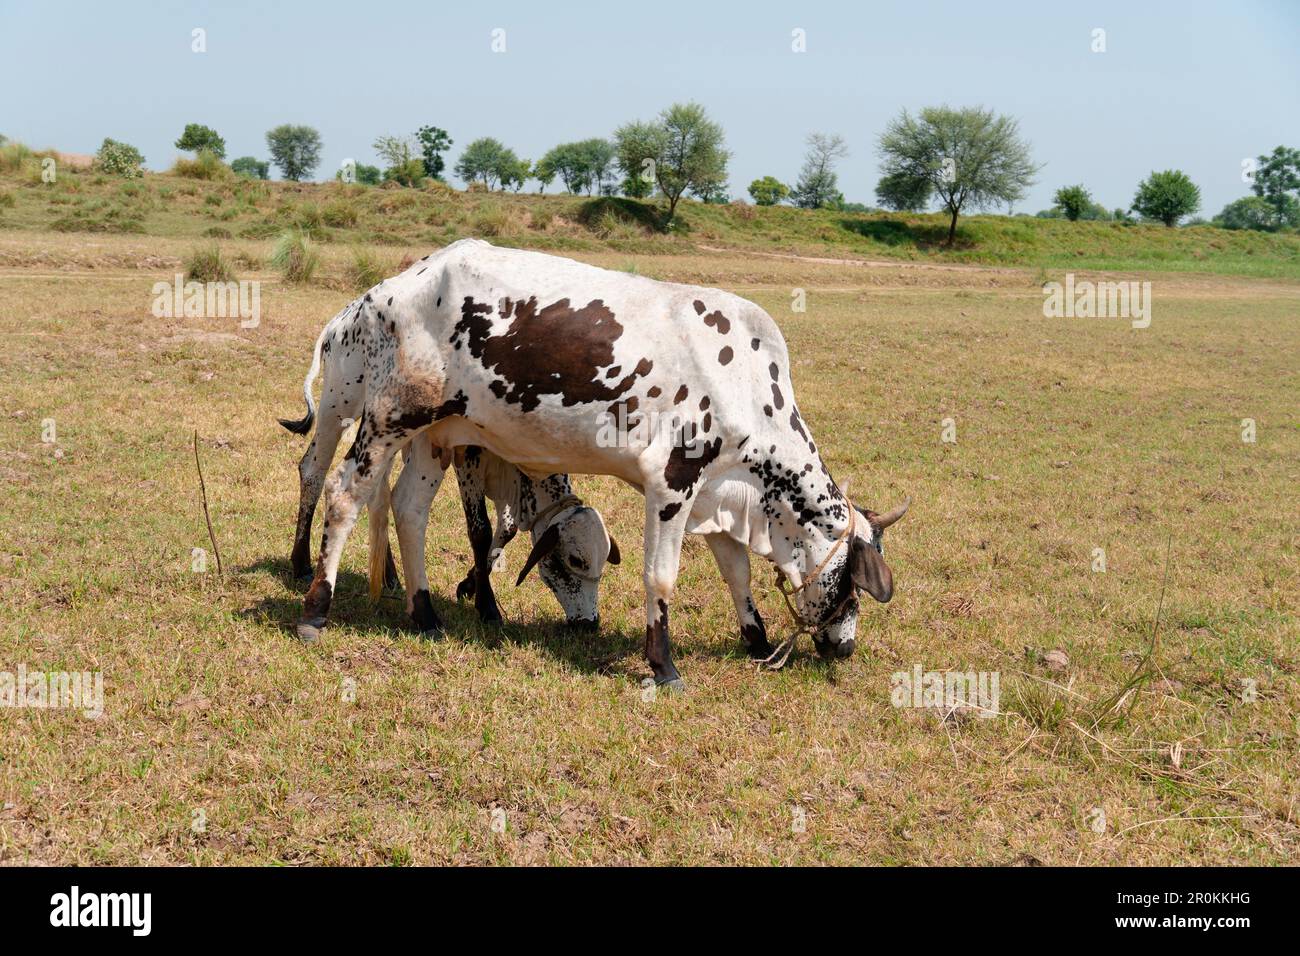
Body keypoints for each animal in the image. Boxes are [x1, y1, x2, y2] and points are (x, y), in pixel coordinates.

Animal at [278, 296, 618, 629]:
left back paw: (389, 575)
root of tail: (343, 318)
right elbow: (480, 531)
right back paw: (302, 564)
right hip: (340, 407)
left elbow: (506, 530)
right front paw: (486, 605)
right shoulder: (469, 460)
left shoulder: (511, 479)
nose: (588, 623)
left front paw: (469, 584)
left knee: (377, 496)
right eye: (571, 561)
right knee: (314, 470)